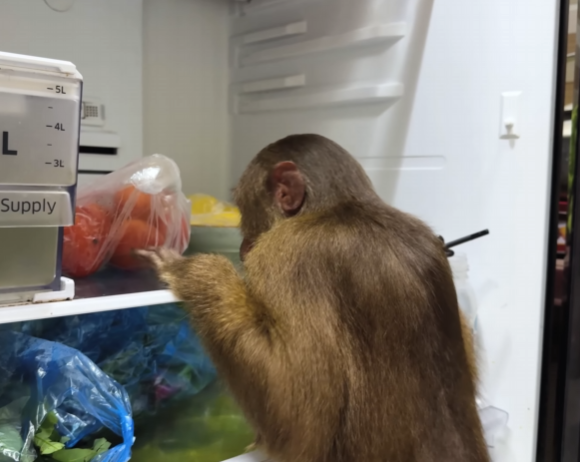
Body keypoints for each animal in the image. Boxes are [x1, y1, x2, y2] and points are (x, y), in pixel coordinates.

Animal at [138, 134, 489, 462]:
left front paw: (194, 272)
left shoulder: (287, 255)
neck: (339, 207)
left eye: (242, 209)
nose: (242, 244)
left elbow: (296, 420)